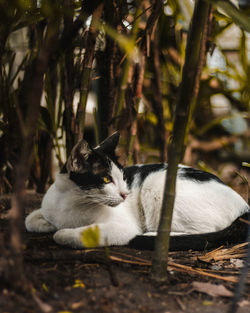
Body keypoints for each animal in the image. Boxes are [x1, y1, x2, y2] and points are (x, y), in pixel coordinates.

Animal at [25, 130, 250, 250]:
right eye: (107, 179)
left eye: (122, 177)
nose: (125, 194)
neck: (73, 201)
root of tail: (244, 206)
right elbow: (30, 219)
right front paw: (45, 223)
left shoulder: (123, 227)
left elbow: (65, 234)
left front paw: (62, 232)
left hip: (157, 185)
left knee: (204, 231)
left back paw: (154, 235)